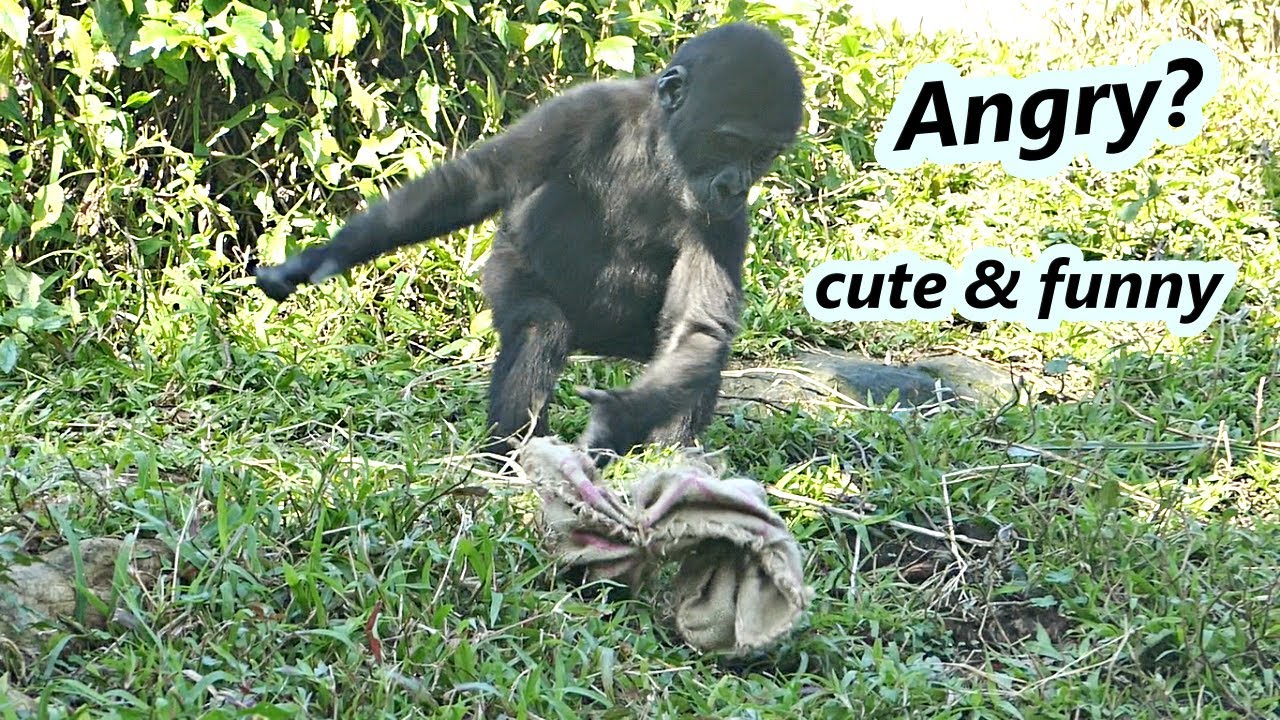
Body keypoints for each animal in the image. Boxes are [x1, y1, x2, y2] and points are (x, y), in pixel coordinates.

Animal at [252, 23, 805, 464]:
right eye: (729, 141)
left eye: (764, 155)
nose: (735, 184)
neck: (660, 148)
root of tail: (597, 345)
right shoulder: (582, 111)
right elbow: (477, 181)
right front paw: (322, 257)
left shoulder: (728, 221)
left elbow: (700, 328)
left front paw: (618, 419)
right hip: (515, 274)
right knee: (540, 324)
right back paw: (510, 454)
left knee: (689, 352)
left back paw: (673, 461)